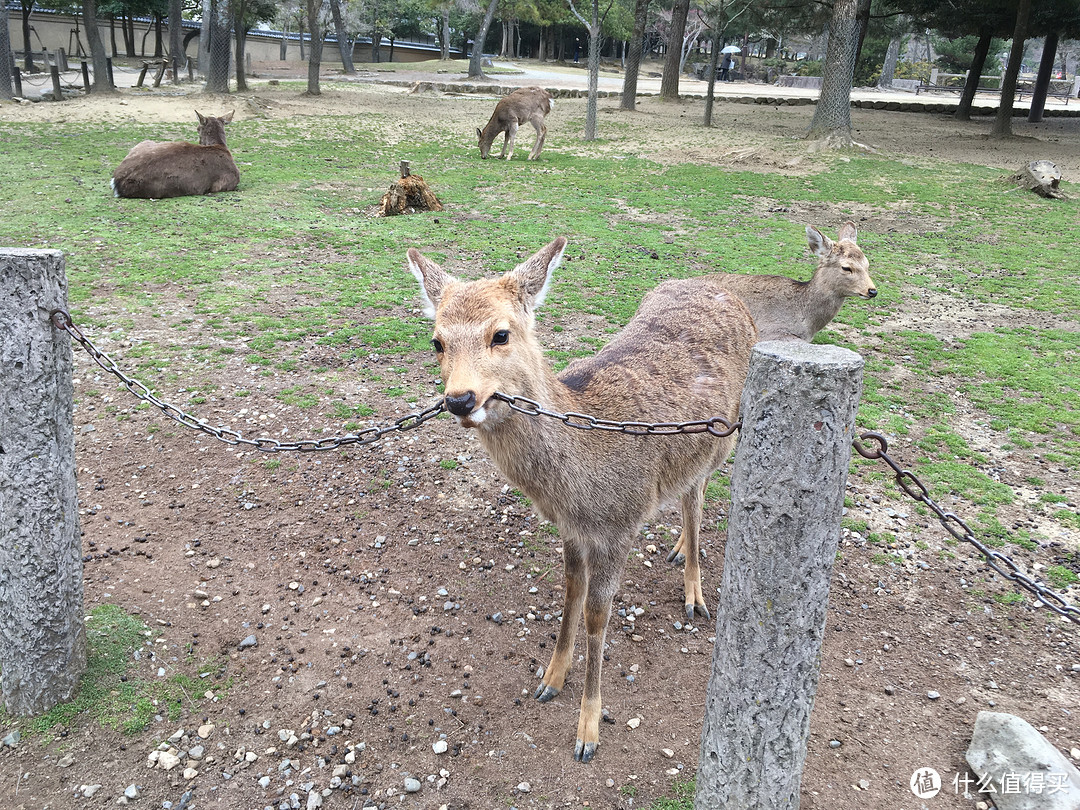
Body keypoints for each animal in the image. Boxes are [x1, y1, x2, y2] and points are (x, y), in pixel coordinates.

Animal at [408, 237, 756, 764]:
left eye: (501, 334)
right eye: (436, 341)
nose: (460, 399)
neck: (578, 484)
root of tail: (724, 290)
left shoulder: (621, 522)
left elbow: (598, 614)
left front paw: (587, 729)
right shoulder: (570, 527)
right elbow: (571, 590)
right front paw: (551, 677)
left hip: (724, 437)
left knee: (697, 495)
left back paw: (694, 593)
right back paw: (678, 551)